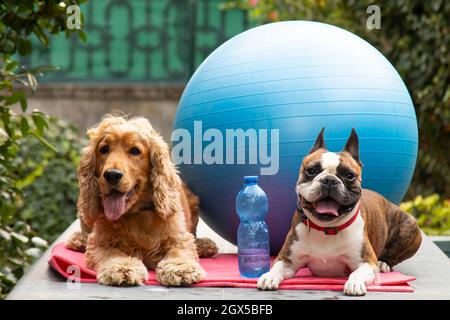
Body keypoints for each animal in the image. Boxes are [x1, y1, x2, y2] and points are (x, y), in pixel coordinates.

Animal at [256, 127, 422, 296]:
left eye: (349, 175)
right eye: (311, 171)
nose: (329, 180)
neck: (327, 228)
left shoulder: (367, 262)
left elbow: (357, 272)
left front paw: (354, 283)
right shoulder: (288, 259)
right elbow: (277, 266)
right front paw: (269, 276)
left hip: (411, 226)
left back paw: (384, 263)